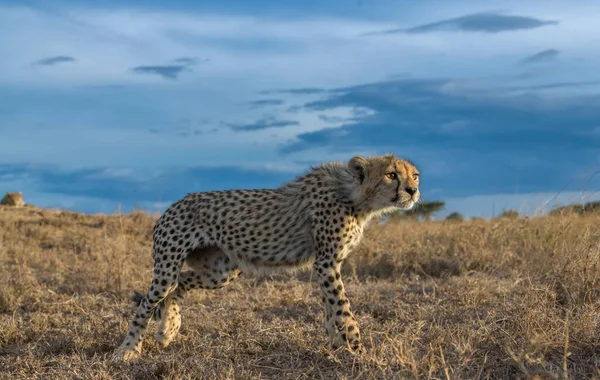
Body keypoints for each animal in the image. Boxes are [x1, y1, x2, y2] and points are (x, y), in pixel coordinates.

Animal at [113, 154, 422, 360]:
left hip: (220, 272)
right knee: (147, 304)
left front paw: (337, 344)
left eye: (414, 175)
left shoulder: (327, 264)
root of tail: (173, 204)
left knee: (180, 285)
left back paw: (168, 329)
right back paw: (127, 350)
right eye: (391, 175)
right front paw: (356, 349)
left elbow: (331, 309)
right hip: (168, 268)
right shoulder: (326, 262)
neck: (355, 197)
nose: (413, 190)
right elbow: (342, 309)